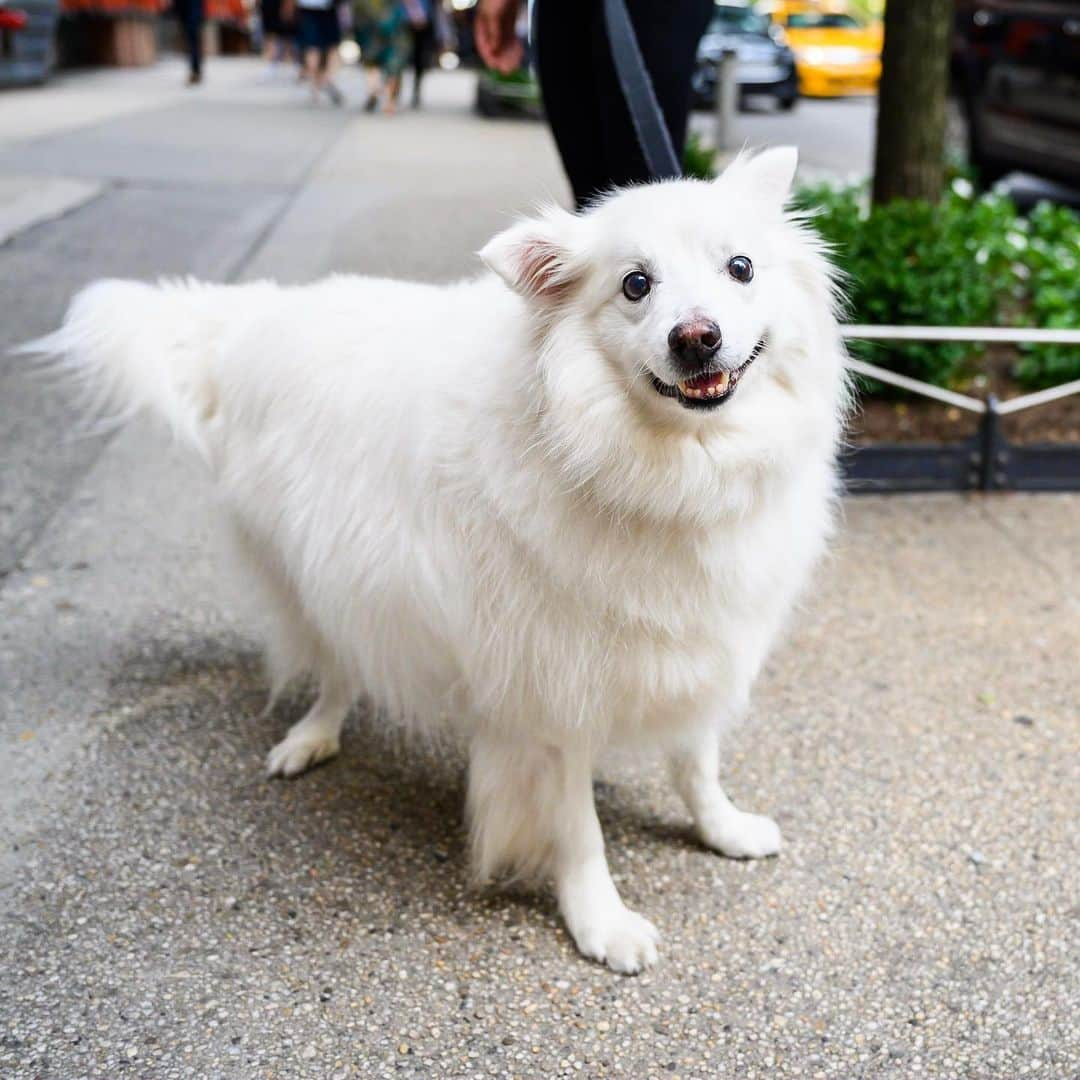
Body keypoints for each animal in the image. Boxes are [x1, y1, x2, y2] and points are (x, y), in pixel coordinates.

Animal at [31, 147, 842, 976]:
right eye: (635, 285)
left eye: (741, 267)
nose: (697, 337)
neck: (657, 467)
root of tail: (257, 320)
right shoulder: (551, 700)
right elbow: (578, 830)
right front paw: (601, 923)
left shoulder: (699, 643)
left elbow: (697, 763)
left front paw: (723, 829)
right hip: (311, 577)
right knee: (334, 668)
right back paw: (310, 737)